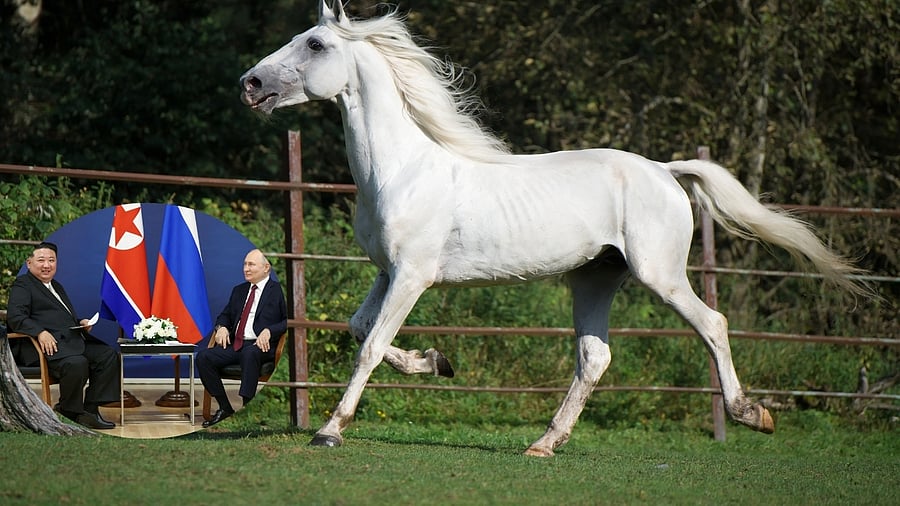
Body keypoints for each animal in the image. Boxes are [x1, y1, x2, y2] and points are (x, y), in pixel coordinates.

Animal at [240, 1, 867, 456]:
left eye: (315, 44)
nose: (250, 83)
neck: (401, 170)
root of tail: (665, 170)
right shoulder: (386, 273)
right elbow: (358, 326)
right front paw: (437, 362)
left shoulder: (413, 276)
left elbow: (370, 345)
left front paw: (330, 430)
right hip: (595, 278)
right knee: (594, 358)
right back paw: (544, 443)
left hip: (658, 274)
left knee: (712, 324)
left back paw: (752, 414)